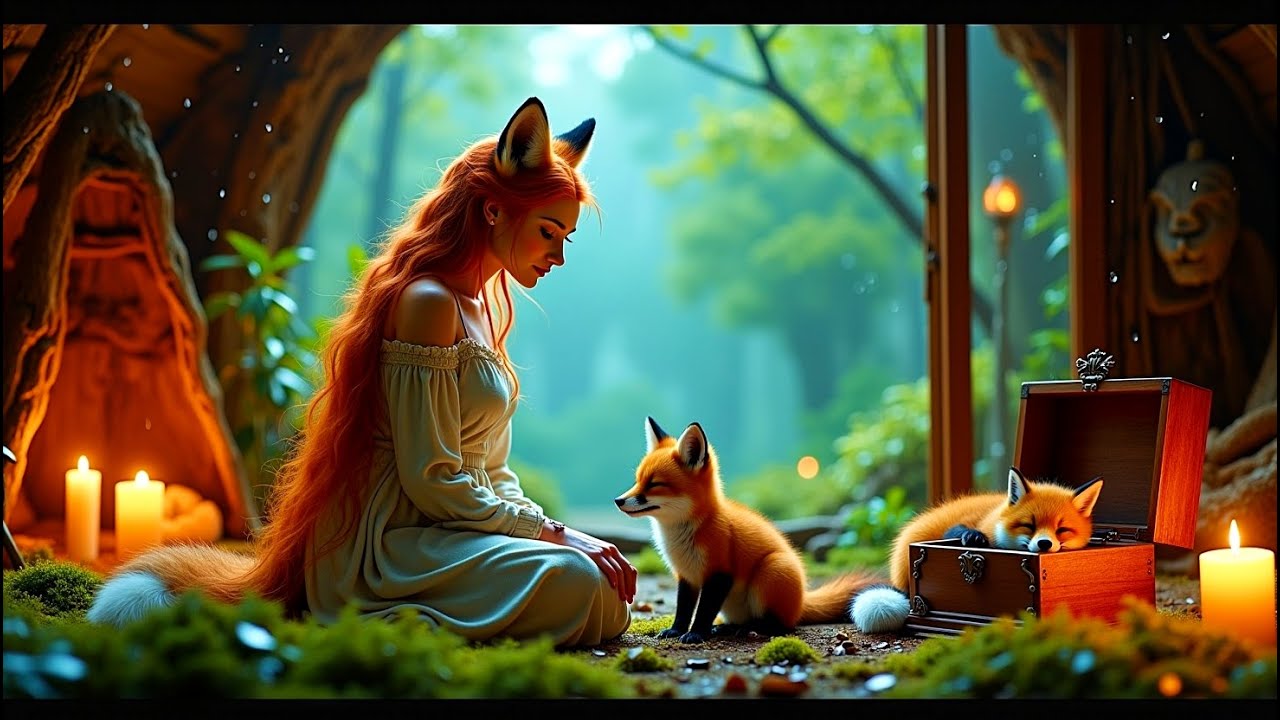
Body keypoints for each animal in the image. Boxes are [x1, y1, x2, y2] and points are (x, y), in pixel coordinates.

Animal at [614, 416, 886, 644]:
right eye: (638, 480)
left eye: (654, 484)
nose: (618, 500)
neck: (684, 534)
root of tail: (802, 601)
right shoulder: (687, 576)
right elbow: (683, 609)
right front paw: (676, 630)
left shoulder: (720, 573)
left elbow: (704, 611)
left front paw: (696, 634)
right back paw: (727, 627)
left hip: (770, 571)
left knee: (781, 625)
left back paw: (750, 629)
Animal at [848, 466, 1104, 634]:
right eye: (1029, 525)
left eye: (1061, 529)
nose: (1044, 544)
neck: (994, 519)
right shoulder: (963, 525)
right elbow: (960, 531)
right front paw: (974, 537)